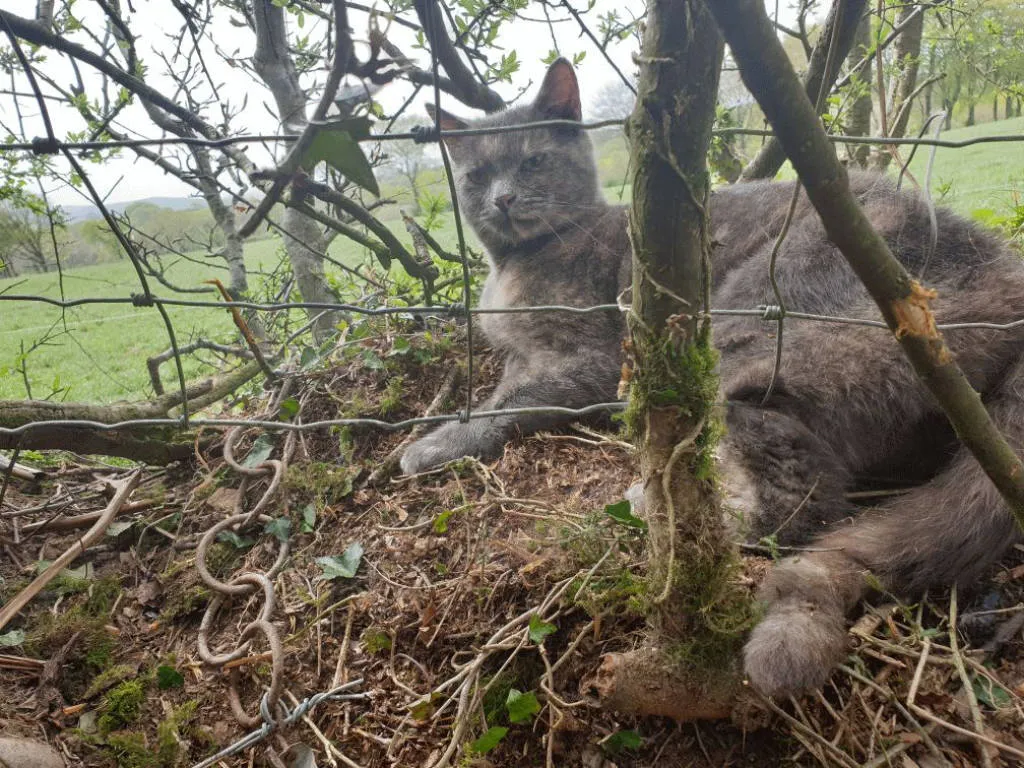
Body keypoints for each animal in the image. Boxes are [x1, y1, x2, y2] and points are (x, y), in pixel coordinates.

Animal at [397, 58, 1024, 696]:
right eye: (476, 175)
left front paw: (433, 442)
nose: (502, 198)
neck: (514, 264)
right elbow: (504, 381)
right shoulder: (523, 353)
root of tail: (1005, 268)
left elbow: (512, 399)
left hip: (749, 324)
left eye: (531, 161)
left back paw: (660, 512)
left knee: (804, 493)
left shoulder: (596, 358)